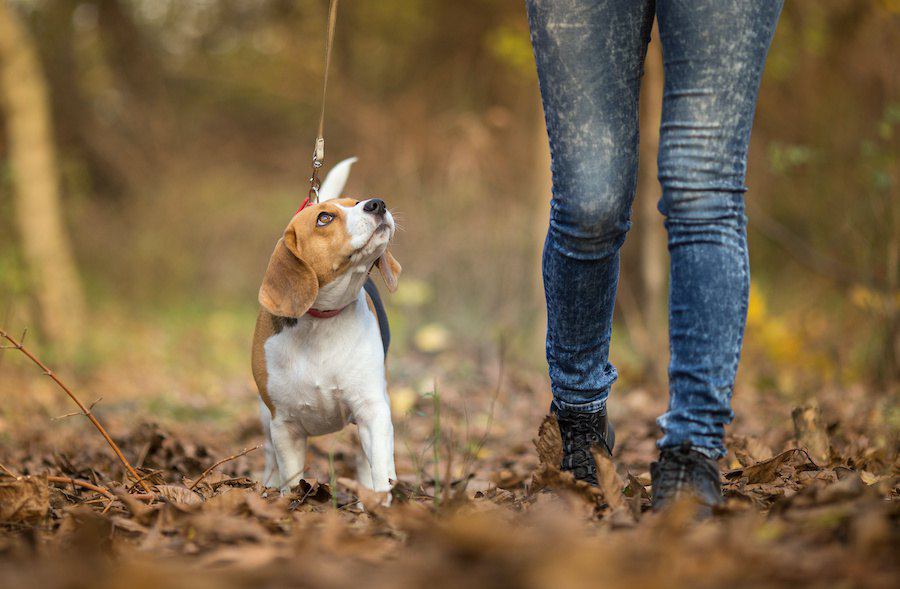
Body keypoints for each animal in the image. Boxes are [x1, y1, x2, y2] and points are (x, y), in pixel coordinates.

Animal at [250, 158, 398, 494]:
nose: (377, 203)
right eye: (324, 218)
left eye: (356, 202)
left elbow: (381, 470)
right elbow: (291, 480)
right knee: (270, 458)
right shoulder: (285, 426)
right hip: (265, 418)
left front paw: (381, 501)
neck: (321, 321)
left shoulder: (372, 411)